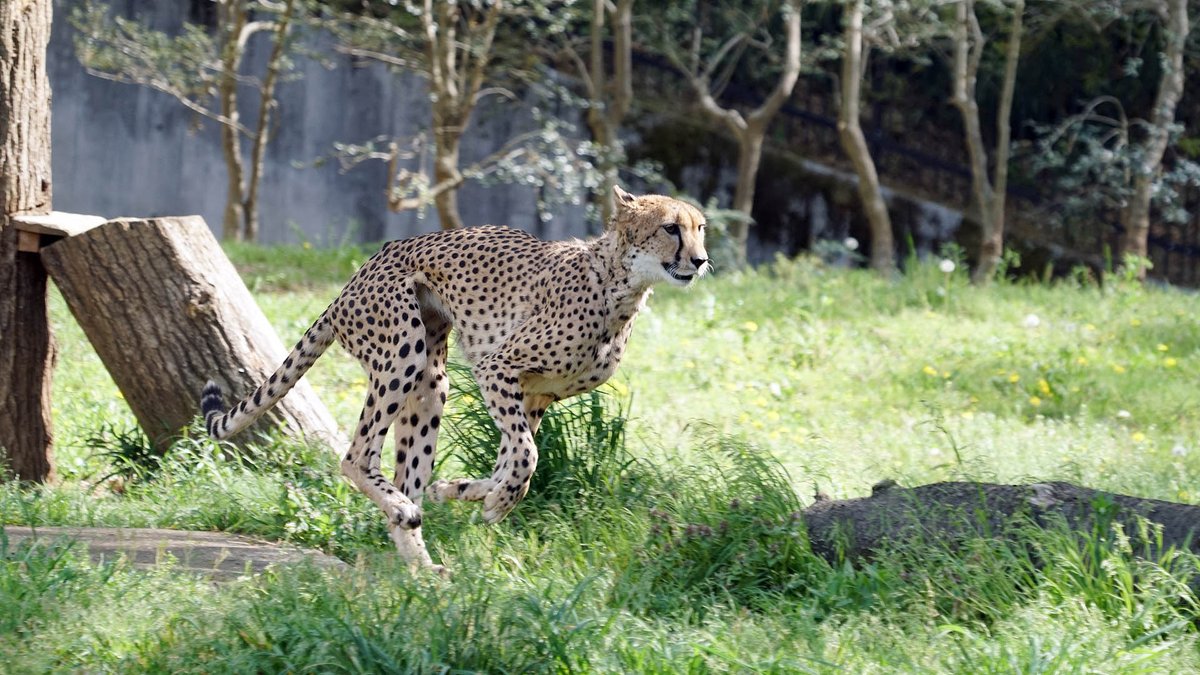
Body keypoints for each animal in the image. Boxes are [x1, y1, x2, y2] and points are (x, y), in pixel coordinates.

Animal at [201, 184, 705, 566]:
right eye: (670, 228)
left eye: (700, 229)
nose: (700, 260)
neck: (620, 286)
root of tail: (366, 266)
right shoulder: (497, 367)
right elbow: (527, 455)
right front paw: (495, 503)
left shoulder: (536, 395)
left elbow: (510, 459)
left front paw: (461, 491)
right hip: (402, 353)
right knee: (356, 456)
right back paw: (404, 516)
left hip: (430, 382)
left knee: (408, 473)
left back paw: (423, 569)